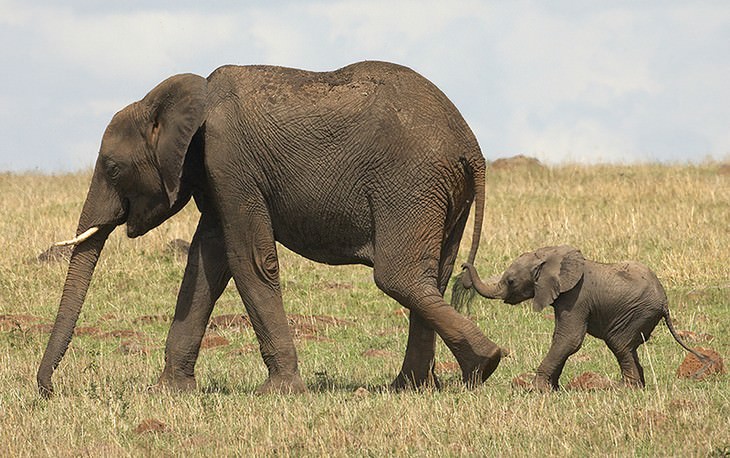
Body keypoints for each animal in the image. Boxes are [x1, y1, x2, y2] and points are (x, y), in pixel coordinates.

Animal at [35, 61, 500, 398]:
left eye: (112, 168)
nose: (49, 391)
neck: (180, 99)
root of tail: (471, 148)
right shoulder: (215, 177)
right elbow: (204, 266)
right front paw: (167, 394)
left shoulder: (230, 162)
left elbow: (249, 262)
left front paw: (277, 394)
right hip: (441, 191)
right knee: (432, 277)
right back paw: (416, 386)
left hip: (410, 185)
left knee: (398, 277)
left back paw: (484, 364)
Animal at [456, 245, 704, 392]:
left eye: (510, 281)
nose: (463, 266)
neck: (550, 257)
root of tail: (664, 302)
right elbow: (562, 339)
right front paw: (552, 389)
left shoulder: (575, 298)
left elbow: (569, 340)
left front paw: (536, 390)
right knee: (629, 347)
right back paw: (637, 386)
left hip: (637, 311)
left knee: (619, 343)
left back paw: (624, 389)